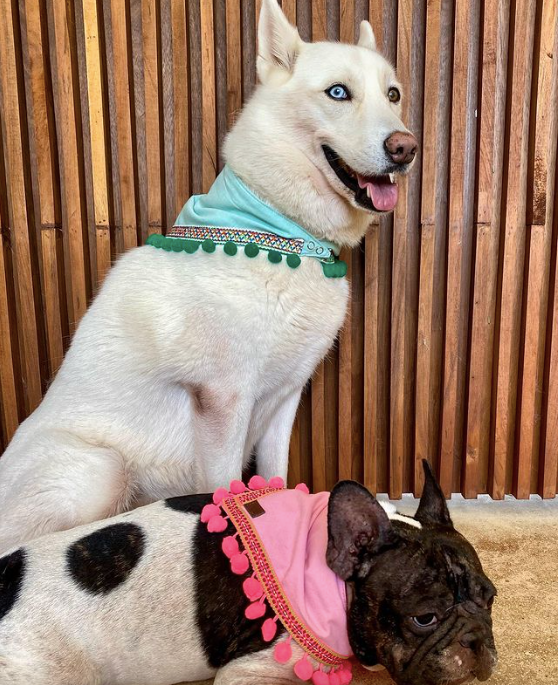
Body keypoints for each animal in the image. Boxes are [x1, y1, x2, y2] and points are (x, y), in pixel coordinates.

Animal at [0, 0, 418, 552]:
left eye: (393, 94)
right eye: (337, 92)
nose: (406, 148)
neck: (281, 235)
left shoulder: (285, 397)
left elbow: (277, 477)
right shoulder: (223, 401)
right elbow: (228, 488)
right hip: (99, 470)